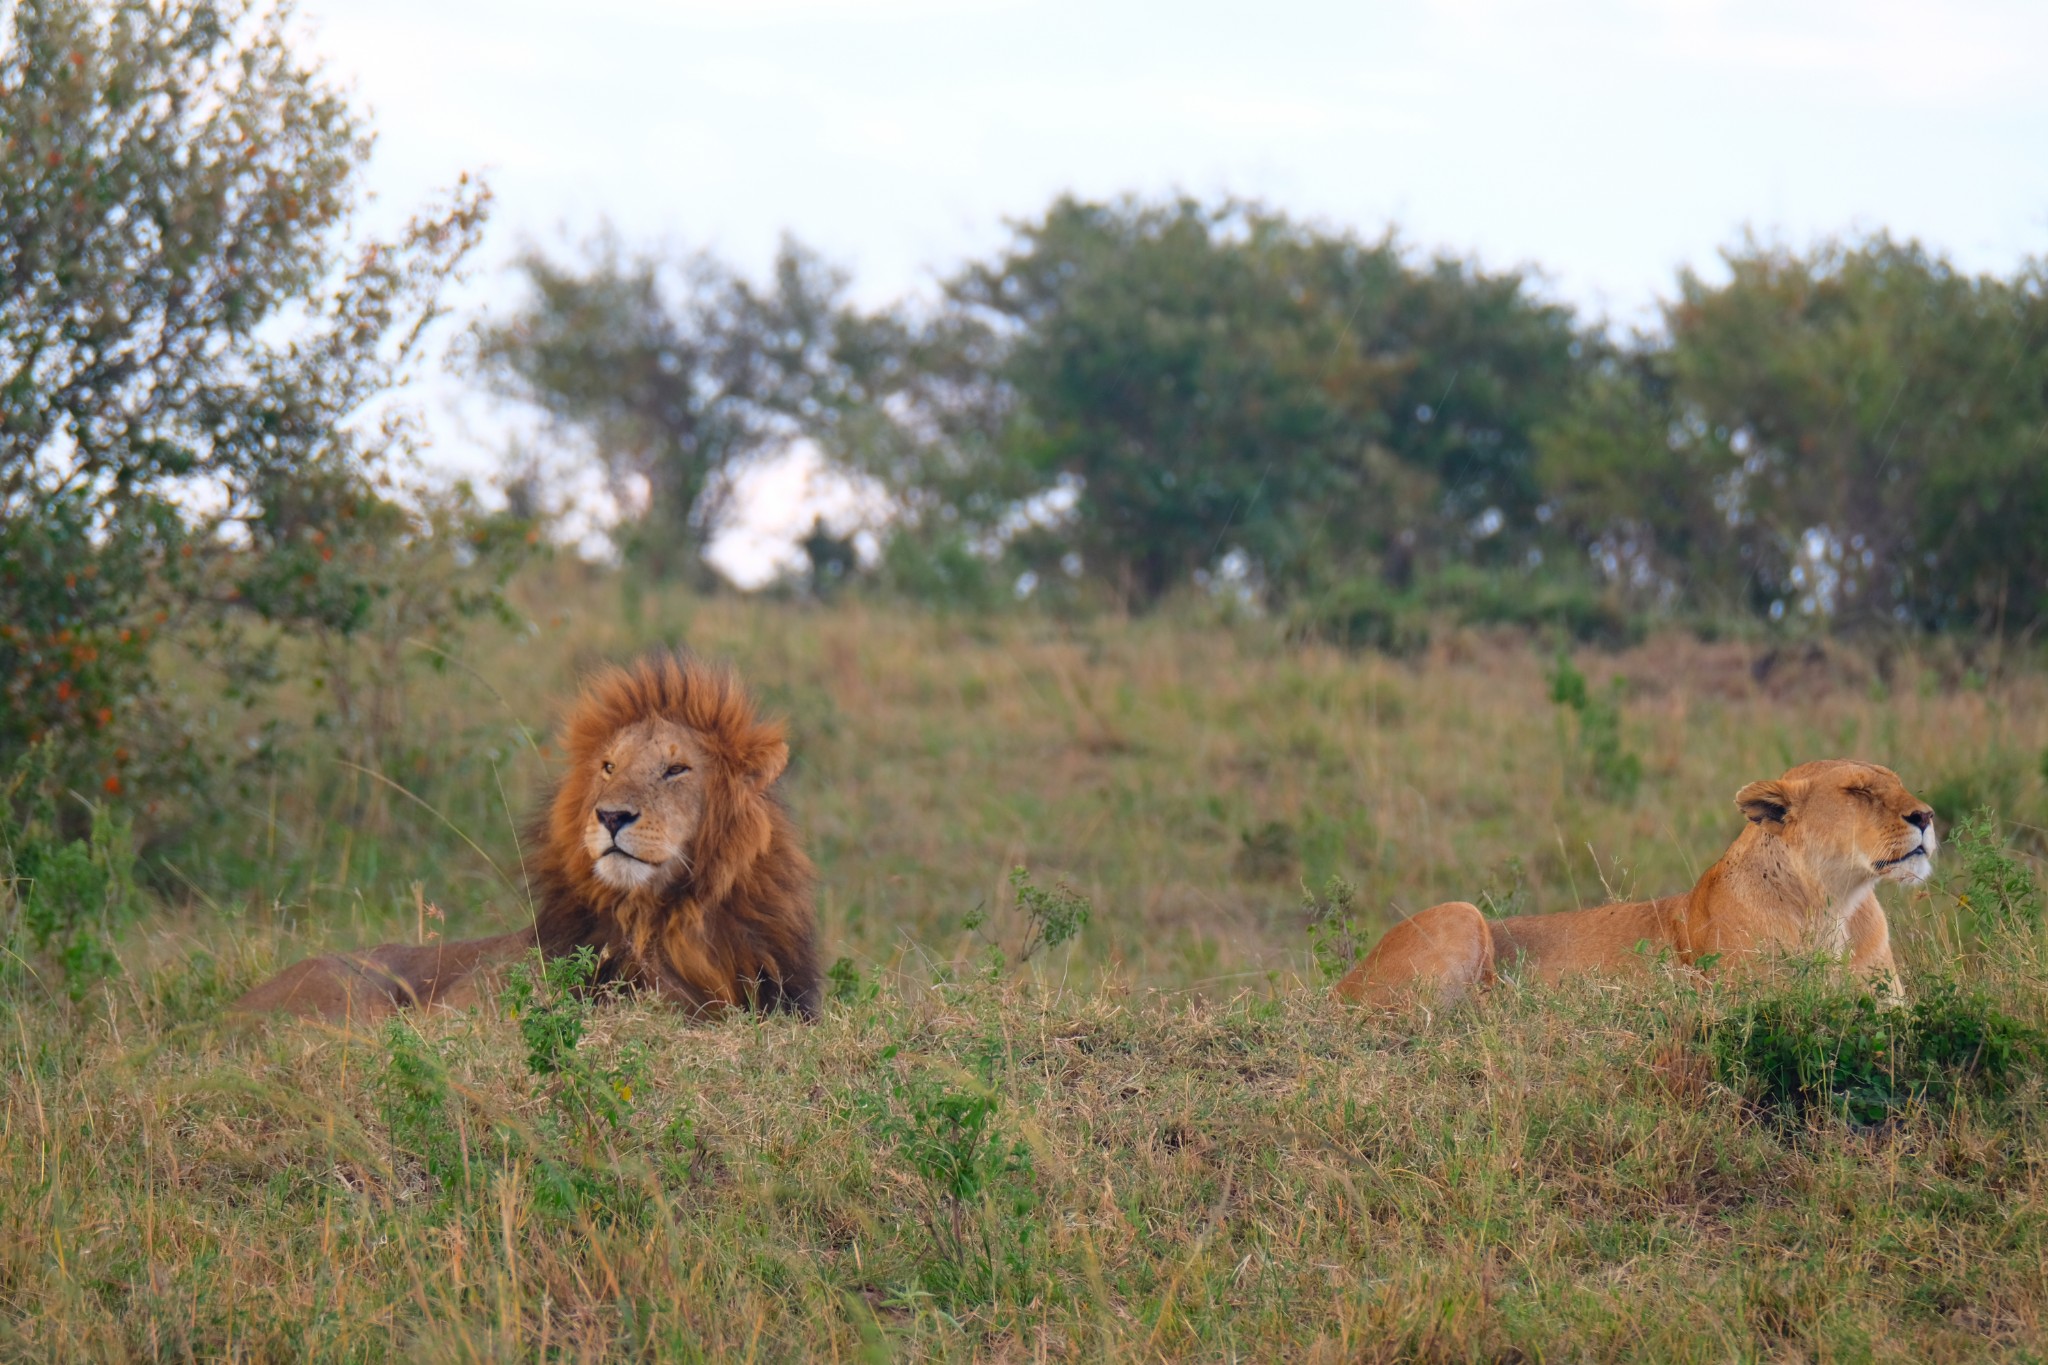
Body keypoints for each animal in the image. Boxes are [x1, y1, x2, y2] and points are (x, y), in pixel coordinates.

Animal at [1335, 765, 1925, 1010]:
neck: (1836, 904)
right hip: (1460, 914)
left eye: (1899, 783)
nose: (1927, 815)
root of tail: (1338, 985)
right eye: (1858, 791)